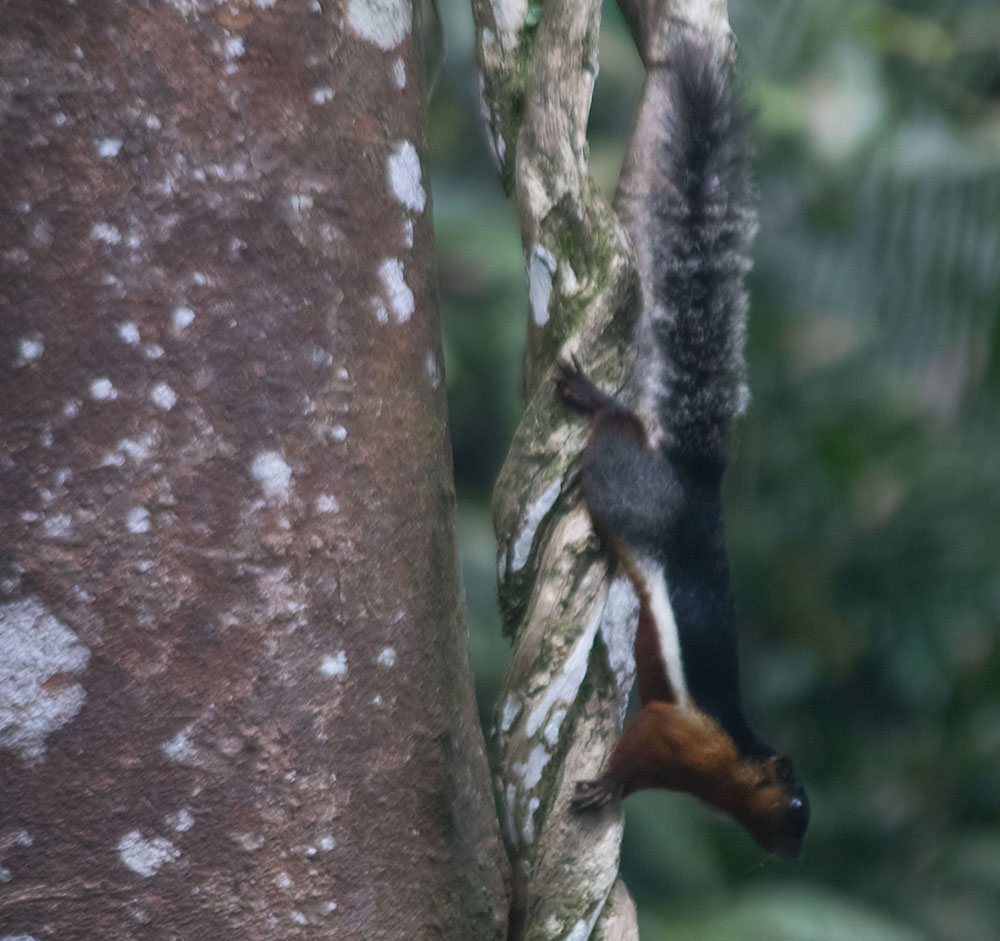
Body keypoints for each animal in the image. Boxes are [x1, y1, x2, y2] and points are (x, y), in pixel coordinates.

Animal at [554, 38, 809, 857]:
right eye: (796, 804)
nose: (794, 849)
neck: (733, 761)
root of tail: (698, 481)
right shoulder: (676, 733)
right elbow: (639, 746)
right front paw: (606, 783)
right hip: (626, 487)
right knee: (616, 438)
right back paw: (596, 401)